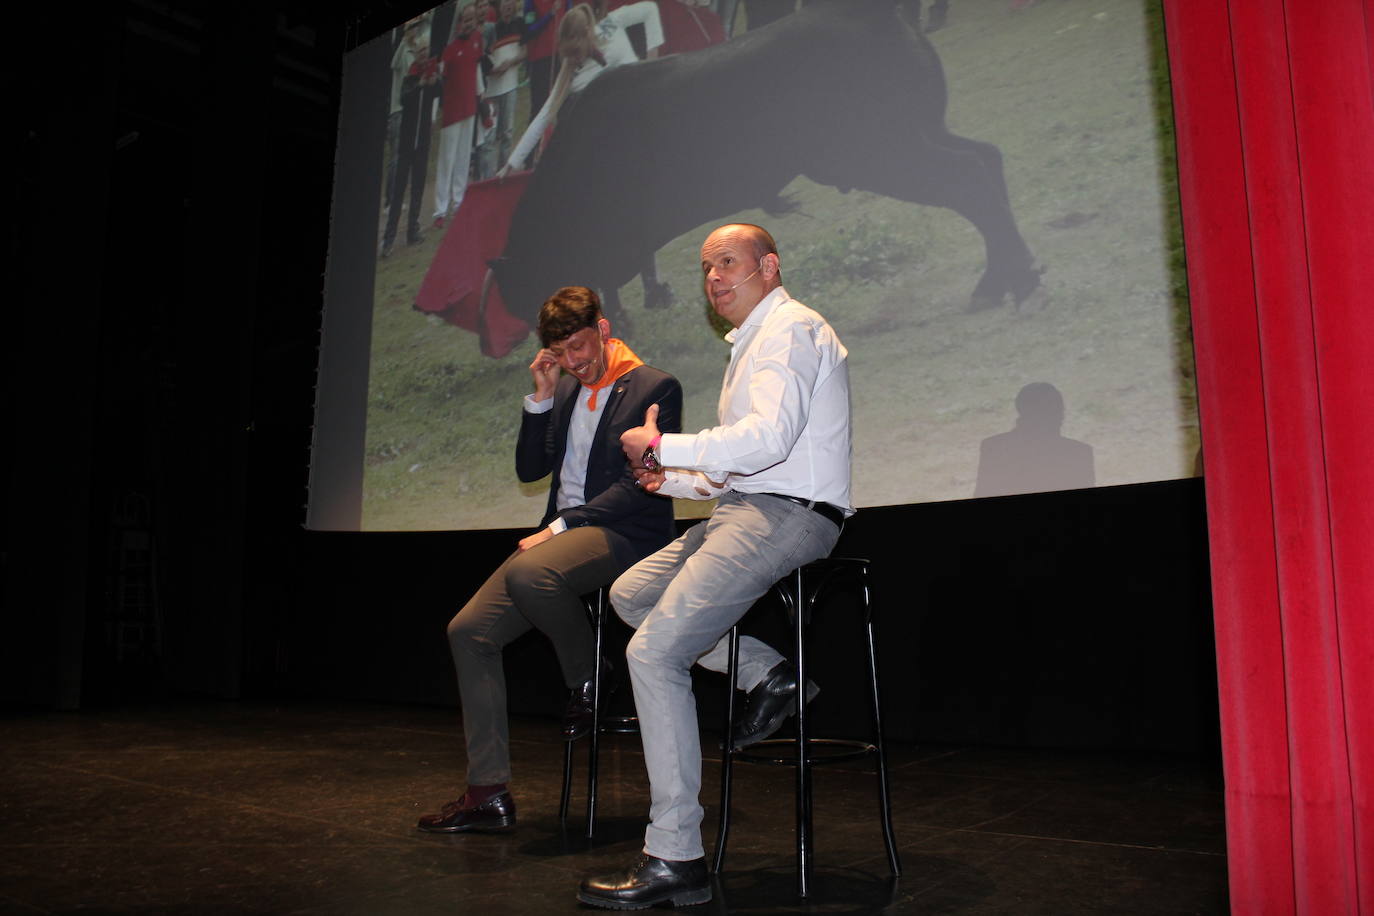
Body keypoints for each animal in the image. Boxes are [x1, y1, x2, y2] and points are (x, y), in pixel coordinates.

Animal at [489, 0, 1033, 322]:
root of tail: (872, 17)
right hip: (918, 135)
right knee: (988, 160)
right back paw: (1014, 274)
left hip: (879, 154)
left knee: (967, 177)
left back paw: (1008, 286)